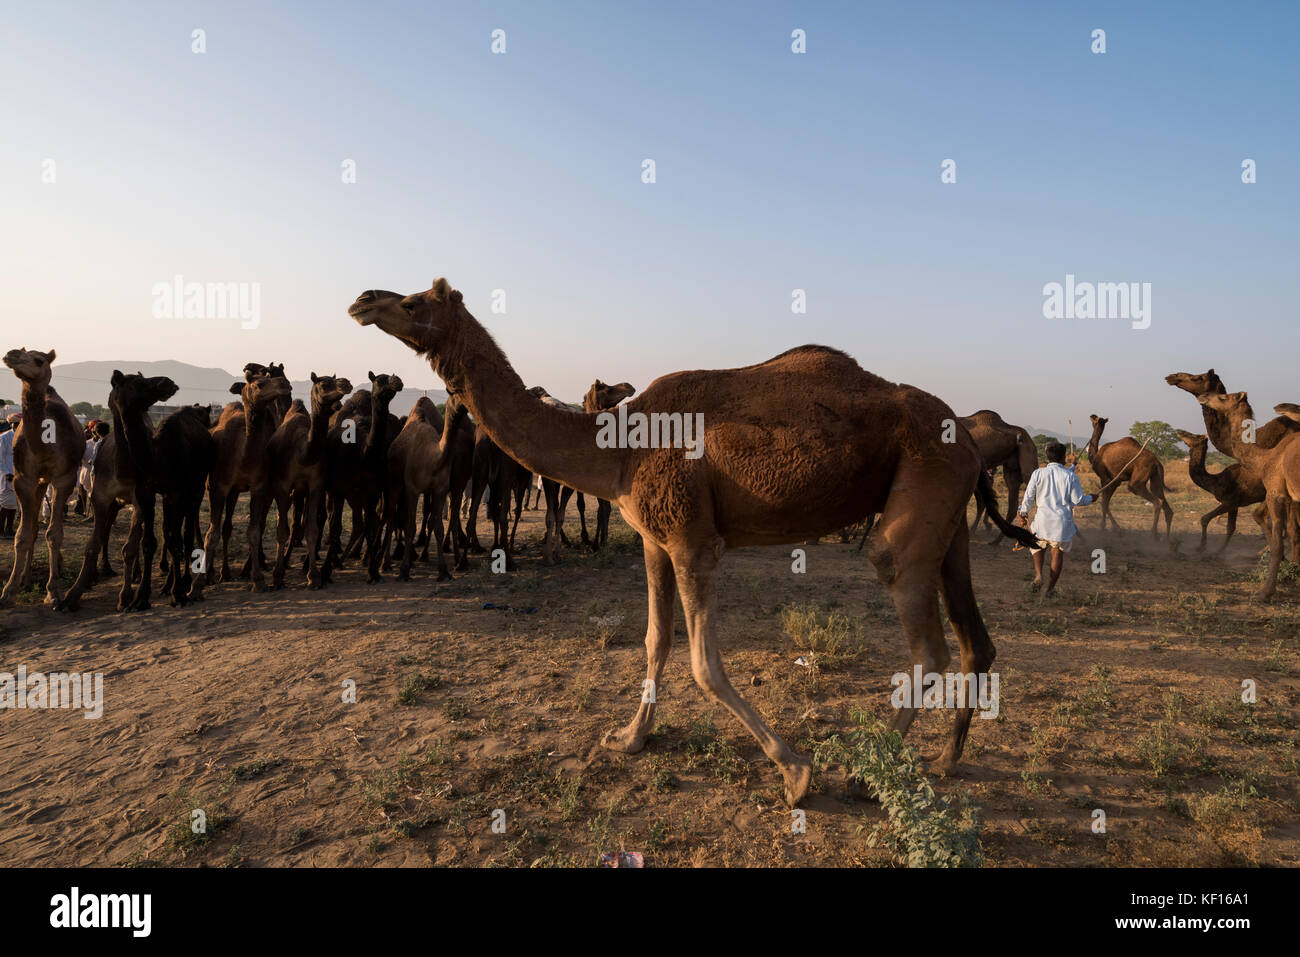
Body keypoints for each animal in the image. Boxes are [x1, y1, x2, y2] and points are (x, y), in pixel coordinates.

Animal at [1, 348, 86, 605]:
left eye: (39, 360)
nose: (10, 354)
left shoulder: (65, 479)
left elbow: (55, 534)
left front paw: (53, 592)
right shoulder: (23, 479)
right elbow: (23, 535)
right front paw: (9, 591)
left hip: (49, 481)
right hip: (38, 483)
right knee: (34, 528)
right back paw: (26, 580)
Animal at [348, 278, 1034, 806]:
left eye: (415, 300)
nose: (363, 299)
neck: (620, 450)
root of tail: (969, 439)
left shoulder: (692, 540)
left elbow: (704, 664)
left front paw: (796, 773)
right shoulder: (655, 539)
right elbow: (655, 641)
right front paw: (629, 739)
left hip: (919, 496)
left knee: (924, 636)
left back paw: (867, 772)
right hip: (947, 516)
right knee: (974, 641)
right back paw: (945, 761)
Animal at [1190, 390, 1300, 598]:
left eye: (1223, 397)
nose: (1203, 396)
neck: (1266, 458)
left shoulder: (1275, 494)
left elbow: (1278, 542)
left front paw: (1266, 592)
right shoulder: (1291, 498)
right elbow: (1293, 532)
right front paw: (1292, 576)